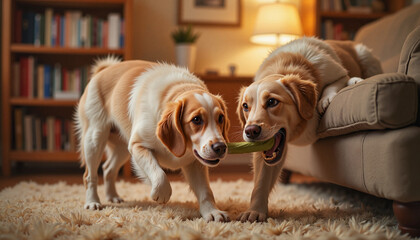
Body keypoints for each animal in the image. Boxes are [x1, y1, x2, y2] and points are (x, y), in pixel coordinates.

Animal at [76, 56, 231, 221]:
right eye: (196, 119)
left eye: (221, 118)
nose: (221, 147)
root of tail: (104, 70)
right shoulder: (138, 145)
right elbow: (159, 173)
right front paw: (161, 194)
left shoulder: (195, 162)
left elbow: (205, 191)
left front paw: (212, 212)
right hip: (95, 139)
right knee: (89, 176)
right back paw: (92, 202)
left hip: (122, 148)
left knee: (107, 169)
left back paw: (112, 196)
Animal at [238, 36, 382, 222]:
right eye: (245, 106)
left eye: (272, 102)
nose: (250, 131)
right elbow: (260, 182)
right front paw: (255, 211)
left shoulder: (337, 73)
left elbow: (335, 83)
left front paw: (325, 99)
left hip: (367, 57)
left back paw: (356, 80)